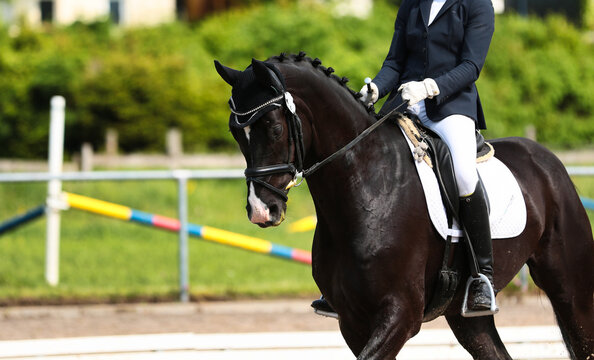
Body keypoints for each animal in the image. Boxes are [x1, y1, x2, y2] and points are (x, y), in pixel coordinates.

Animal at [215, 54, 588, 360]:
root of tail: (545, 158)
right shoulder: (352, 321)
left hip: (569, 286)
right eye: (234, 131)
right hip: (465, 316)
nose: (261, 210)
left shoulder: (401, 314)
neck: (365, 188)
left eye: (275, 128)